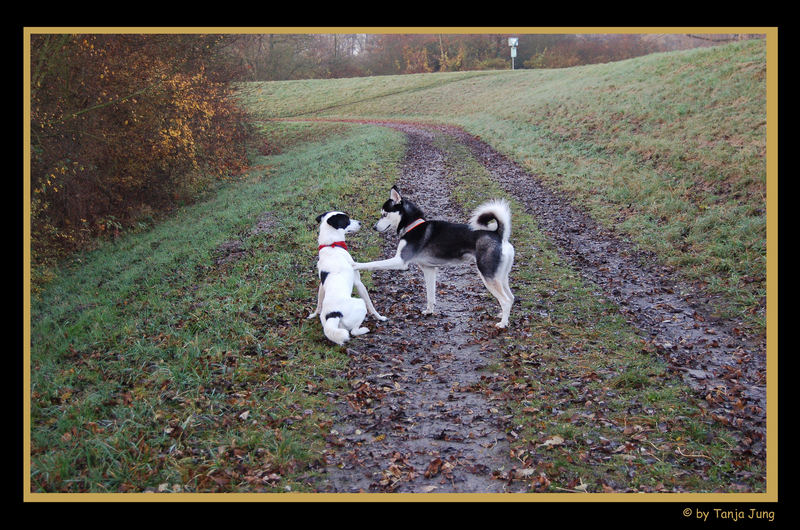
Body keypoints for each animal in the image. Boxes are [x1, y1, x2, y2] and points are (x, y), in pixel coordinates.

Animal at [308, 208, 386, 344]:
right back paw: (364, 329)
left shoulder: (322, 286)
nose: (360, 223)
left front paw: (313, 314)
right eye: (347, 220)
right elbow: (371, 305)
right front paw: (380, 317)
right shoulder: (358, 283)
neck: (332, 245)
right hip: (360, 304)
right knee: (353, 331)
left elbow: (318, 302)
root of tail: (334, 314)